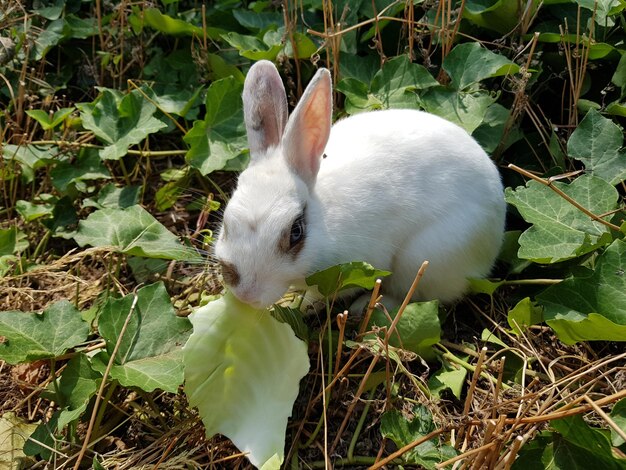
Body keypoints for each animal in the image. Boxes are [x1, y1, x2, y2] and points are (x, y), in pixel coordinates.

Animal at [212, 59, 504, 308]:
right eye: (226, 222)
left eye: (296, 232)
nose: (245, 294)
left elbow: (320, 296)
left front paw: (296, 305)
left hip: (425, 259)